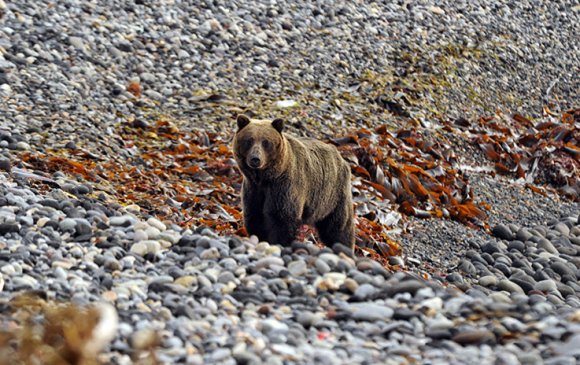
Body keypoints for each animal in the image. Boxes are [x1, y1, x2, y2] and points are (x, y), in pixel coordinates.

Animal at [232, 114, 354, 249]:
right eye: (249, 140)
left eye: (266, 142)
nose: (255, 159)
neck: (265, 178)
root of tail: (341, 157)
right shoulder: (253, 189)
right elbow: (254, 216)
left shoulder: (284, 187)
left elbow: (282, 218)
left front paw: (279, 242)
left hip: (333, 196)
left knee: (339, 227)